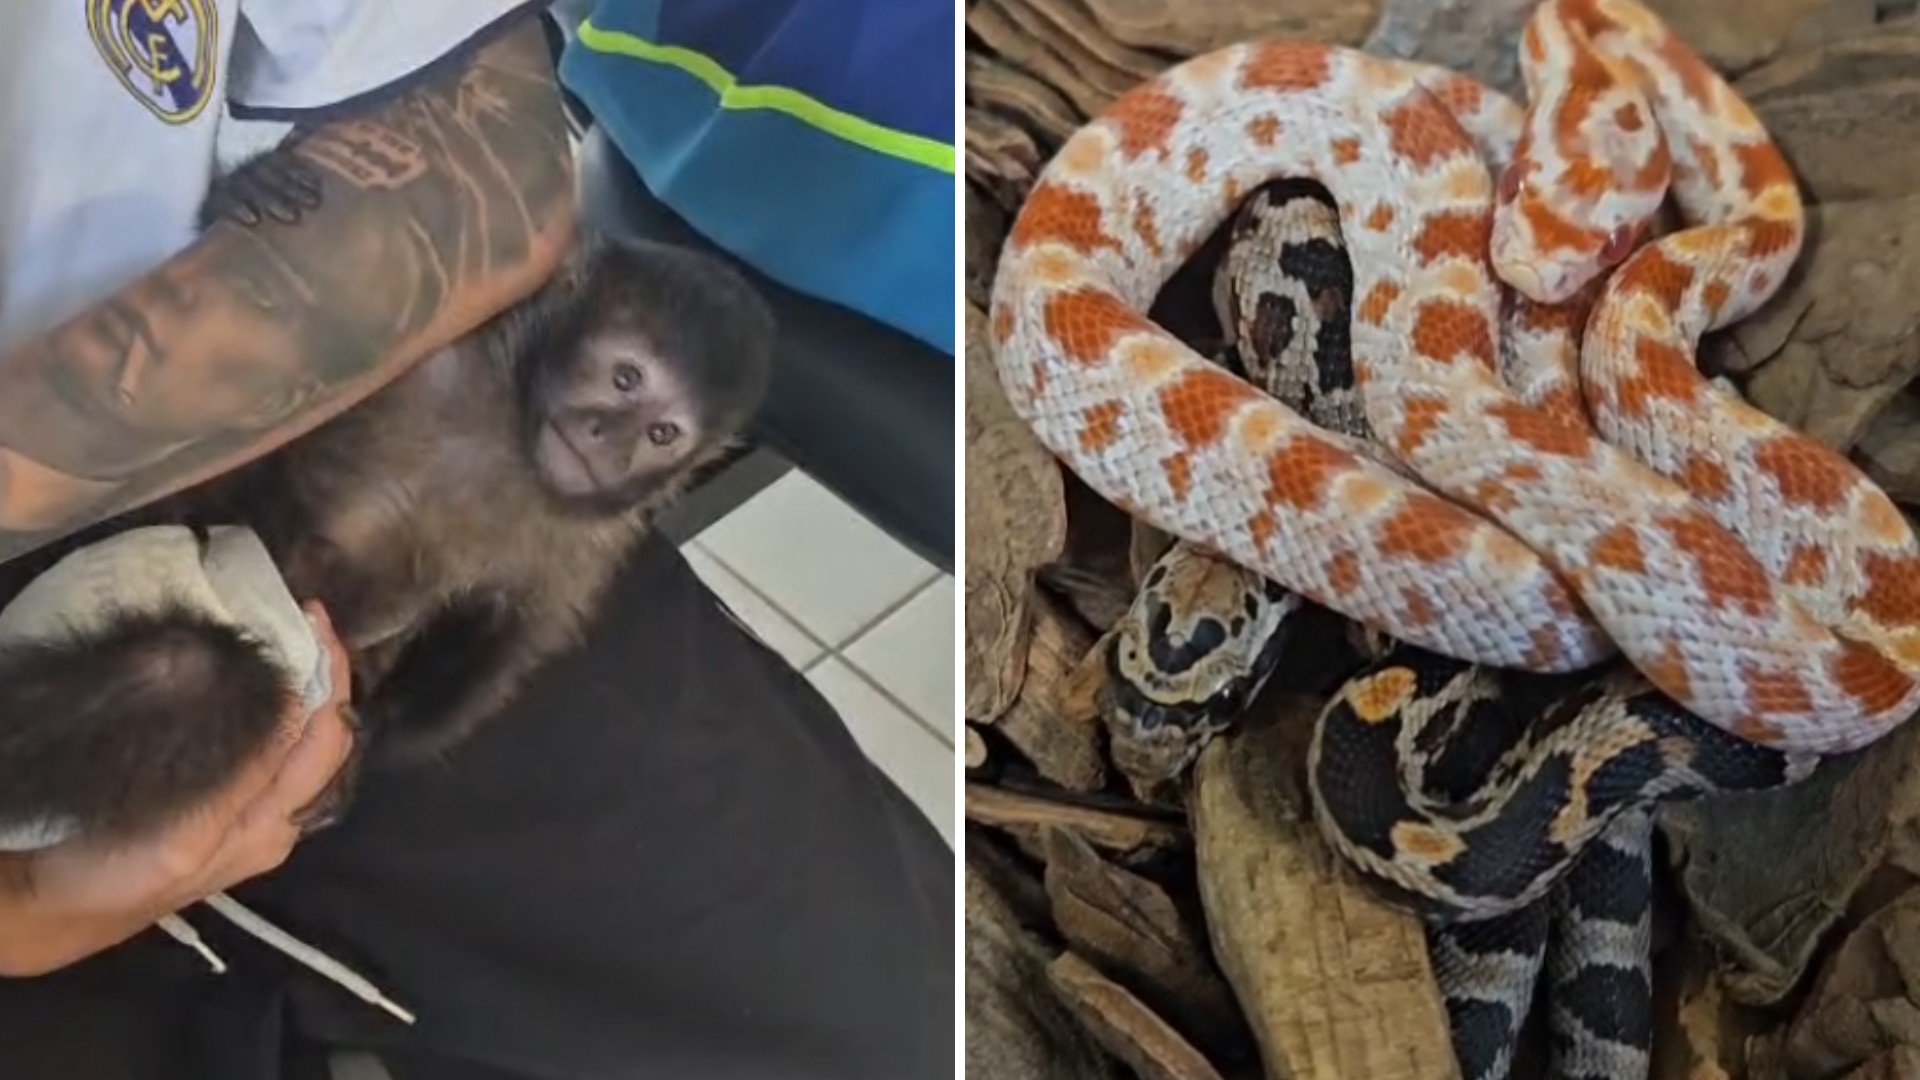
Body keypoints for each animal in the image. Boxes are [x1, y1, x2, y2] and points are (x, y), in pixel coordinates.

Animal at [0, 214, 776, 852]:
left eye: (661, 434)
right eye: (625, 378)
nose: (606, 441)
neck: (512, 446)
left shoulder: (593, 543)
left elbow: (505, 642)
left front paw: (366, 746)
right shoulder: (438, 358)